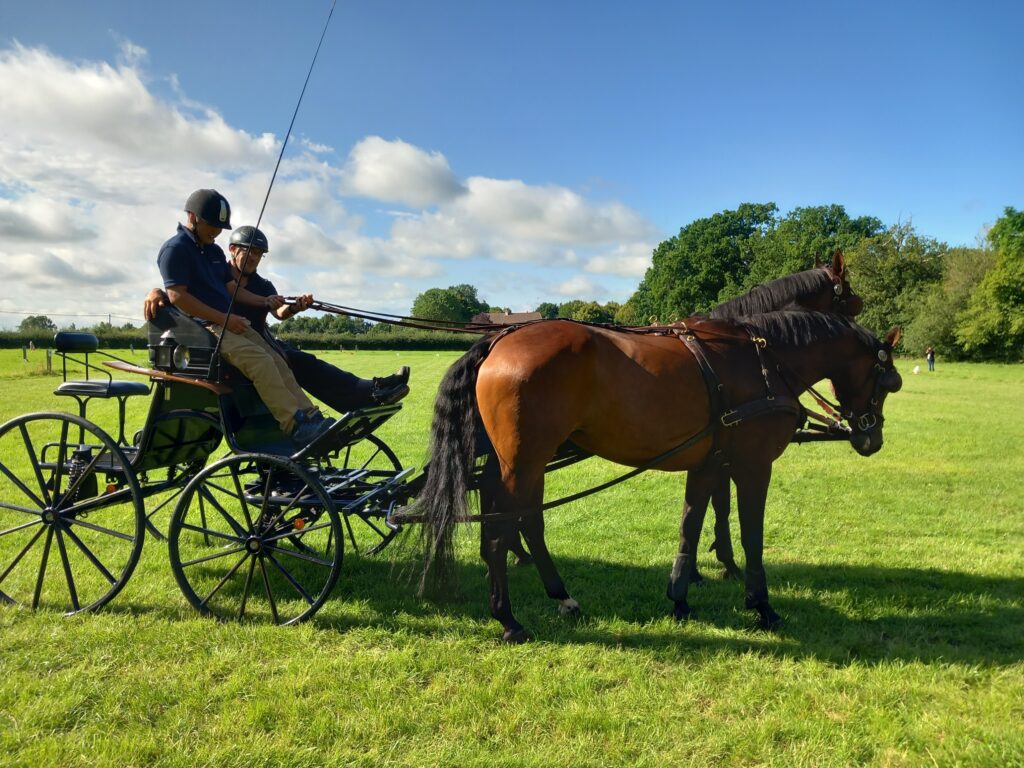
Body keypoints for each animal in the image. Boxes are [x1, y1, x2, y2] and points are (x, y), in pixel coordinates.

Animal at [411, 307, 901, 643]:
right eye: (888, 382)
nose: (871, 438)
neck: (762, 361)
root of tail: (499, 340)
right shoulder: (753, 466)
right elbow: (751, 537)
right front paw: (761, 607)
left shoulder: (708, 464)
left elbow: (691, 525)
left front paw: (680, 598)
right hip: (525, 461)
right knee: (499, 534)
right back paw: (509, 620)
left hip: (515, 464)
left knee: (523, 520)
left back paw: (560, 596)